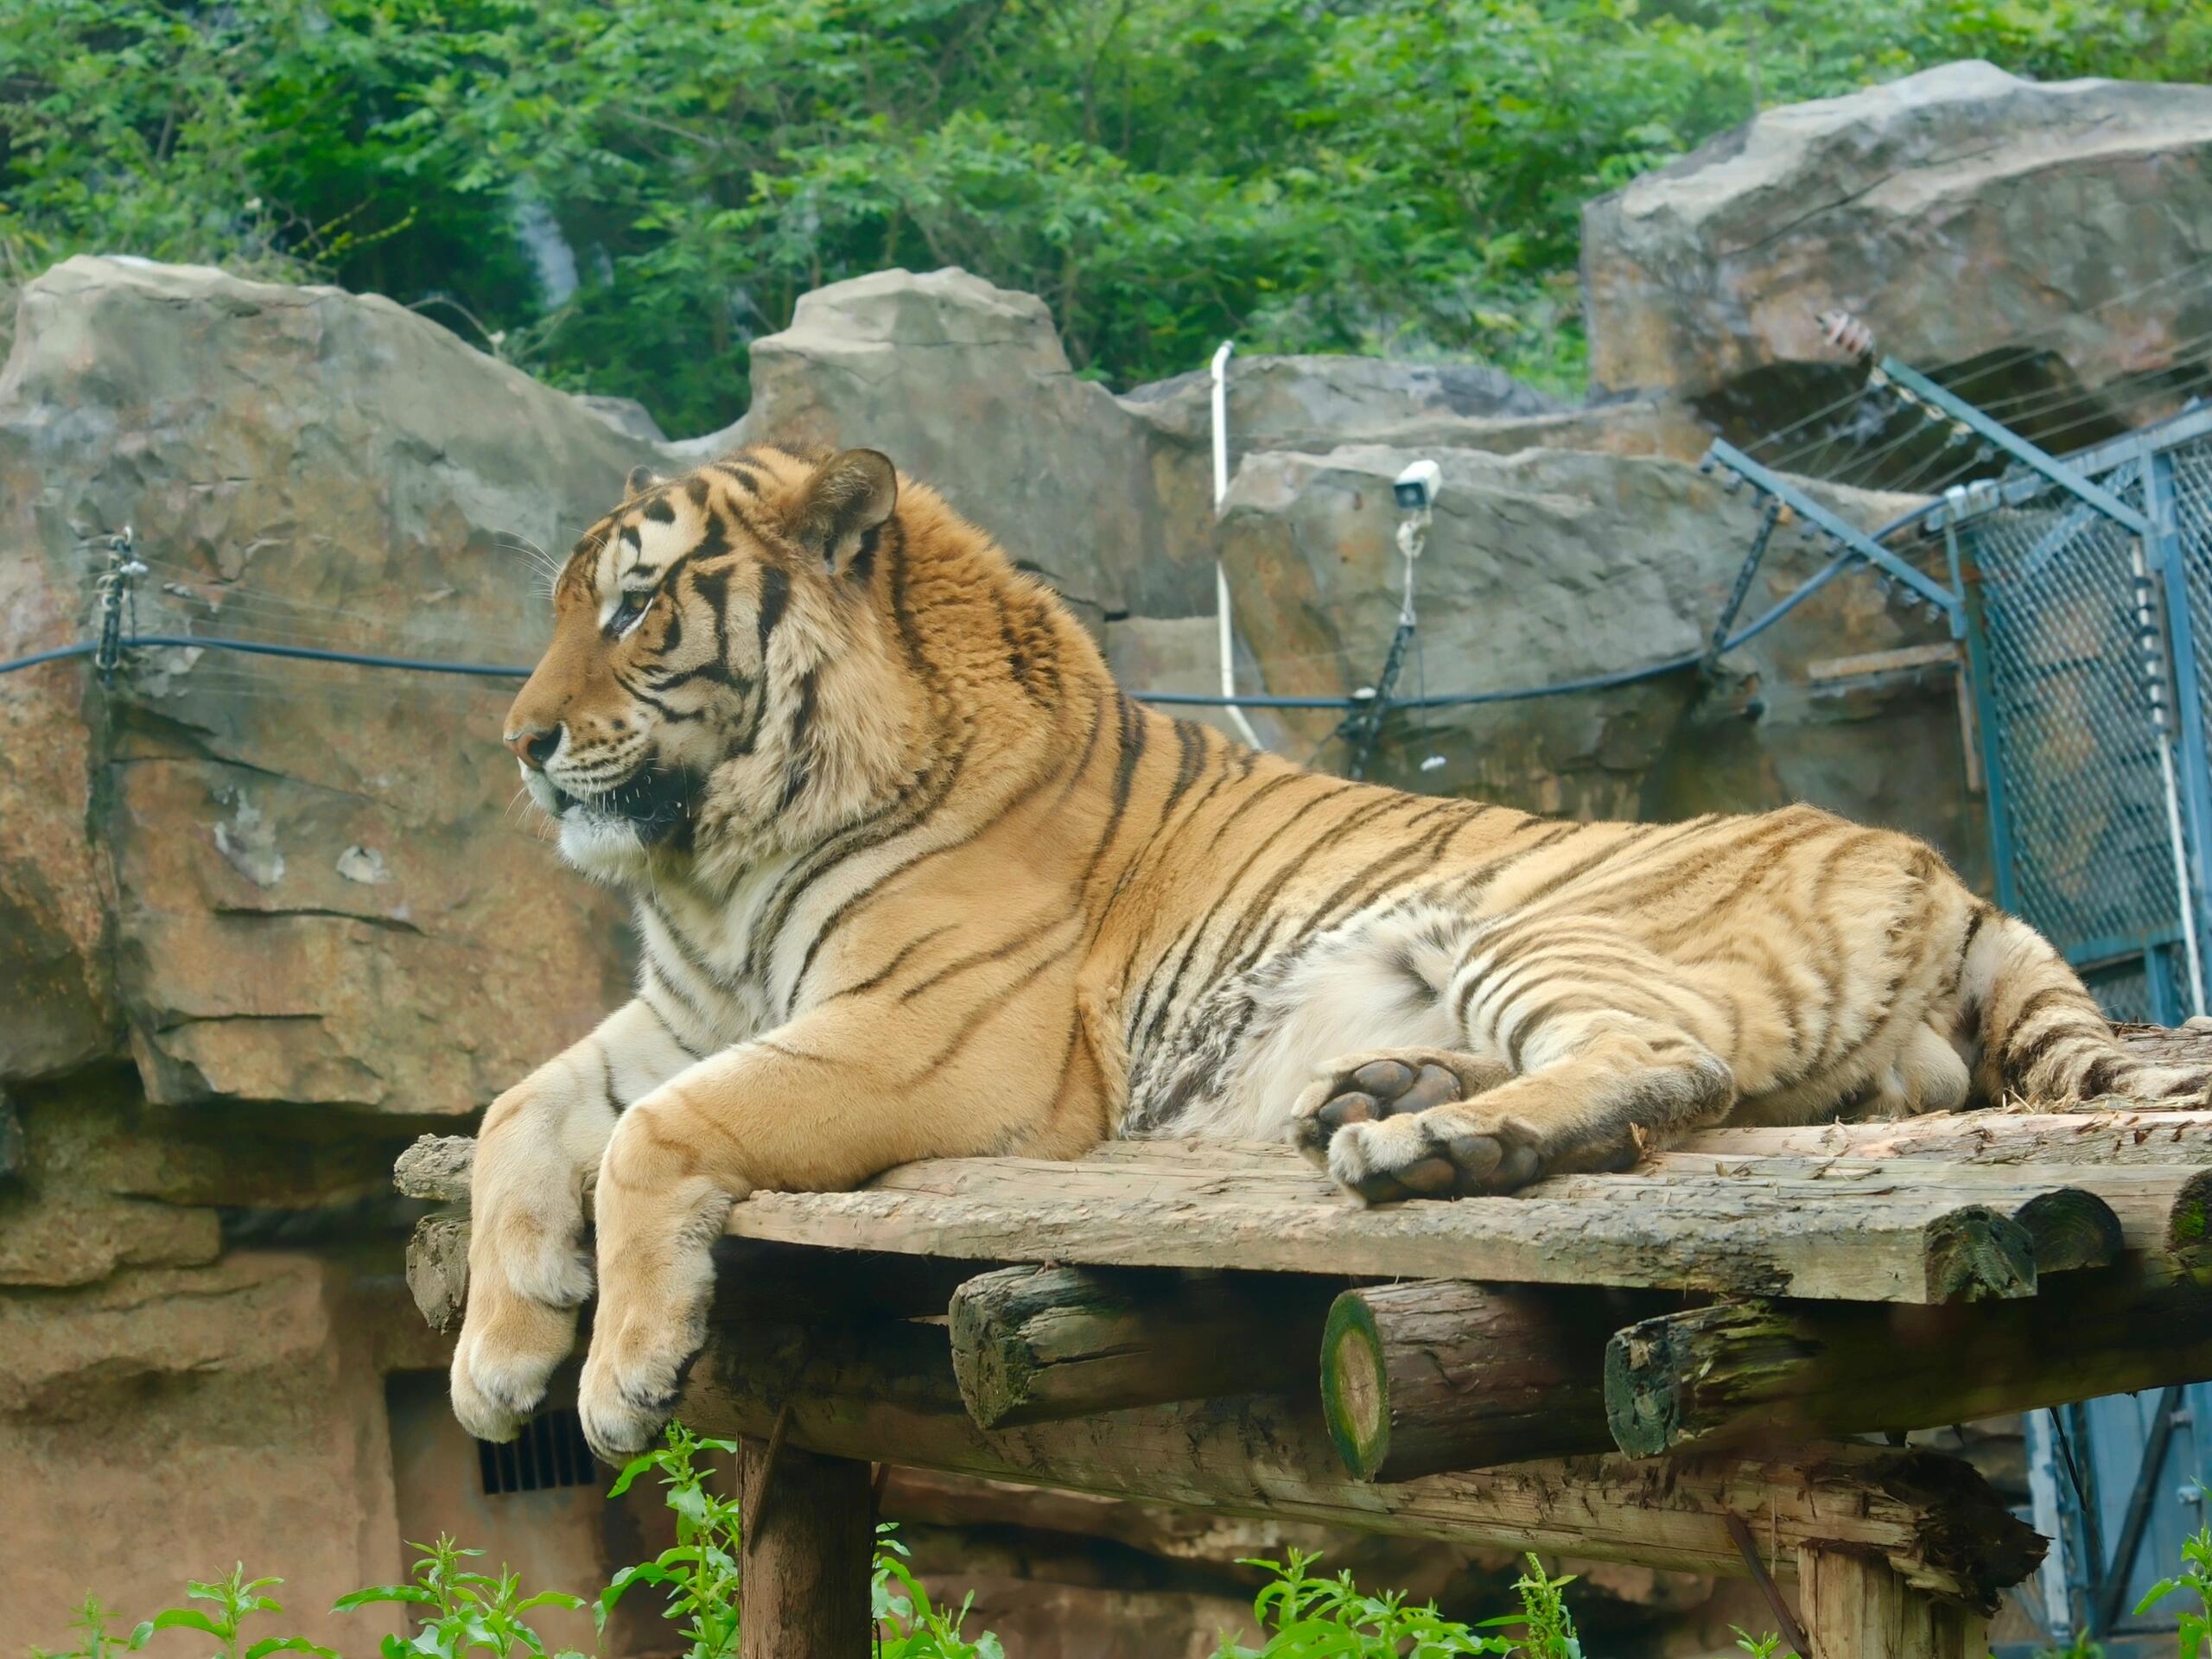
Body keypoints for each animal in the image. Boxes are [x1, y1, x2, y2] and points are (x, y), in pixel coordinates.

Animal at [453, 444, 2212, 1468]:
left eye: (632, 612)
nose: (521, 746)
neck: (712, 863)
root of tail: (1934, 861)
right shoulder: (684, 1013)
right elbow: (516, 1115)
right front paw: (496, 1356)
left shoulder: (930, 1039)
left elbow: (653, 1135)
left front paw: (619, 1379)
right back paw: (1376, 1094)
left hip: (1532, 921)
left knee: (1669, 1064)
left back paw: (1418, 1145)